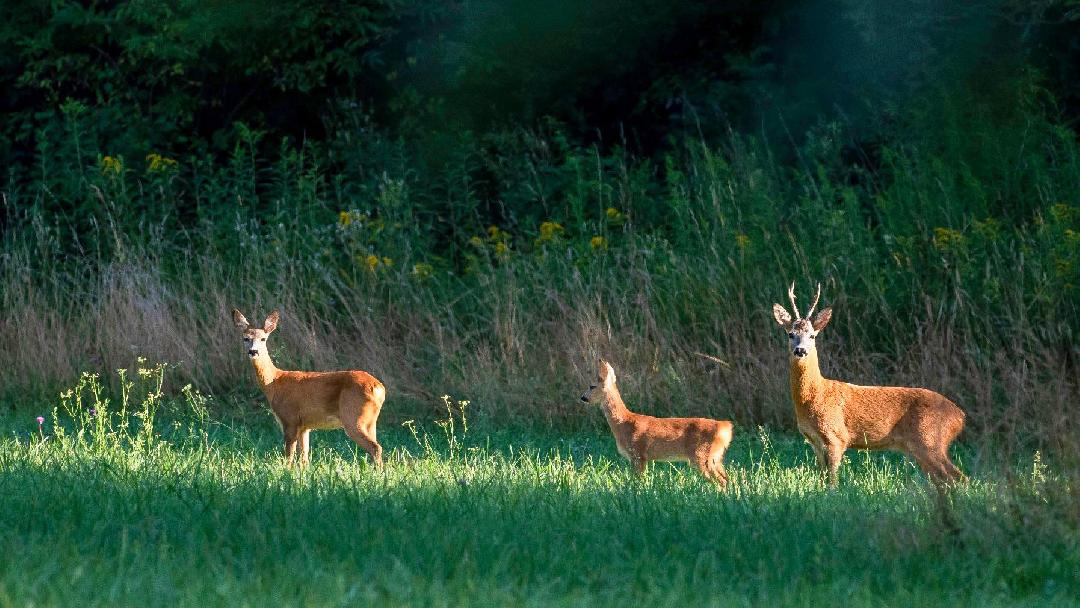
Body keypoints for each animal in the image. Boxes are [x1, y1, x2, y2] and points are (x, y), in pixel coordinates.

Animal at [230, 308, 386, 466]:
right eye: (246, 338)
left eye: (263, 339)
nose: (253, 351)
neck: (274, 382)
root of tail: (378, 387)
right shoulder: (304, 426)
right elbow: (304, 458)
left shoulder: (290, 419)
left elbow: (289, 456)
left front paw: (286, 470)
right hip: (370, 421)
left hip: (353, 416)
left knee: (375, 447)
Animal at [583, 358, 734, 488]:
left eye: (592, 386)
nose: (583, 398)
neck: (623, 423)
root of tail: (724, 427)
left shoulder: (638, 453)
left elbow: (638, 480)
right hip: (715, 457)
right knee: (726, 478)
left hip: (702, 455)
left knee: (720, 481)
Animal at [773, 282, 967, 488]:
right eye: (790, 334)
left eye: (812, 336)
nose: (800, 350)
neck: (815, 395)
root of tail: (960, 416)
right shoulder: (814, 441)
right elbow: (822, 478)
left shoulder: (837, 437)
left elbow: (832, 482)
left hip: (930, 440)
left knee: (958, 477)